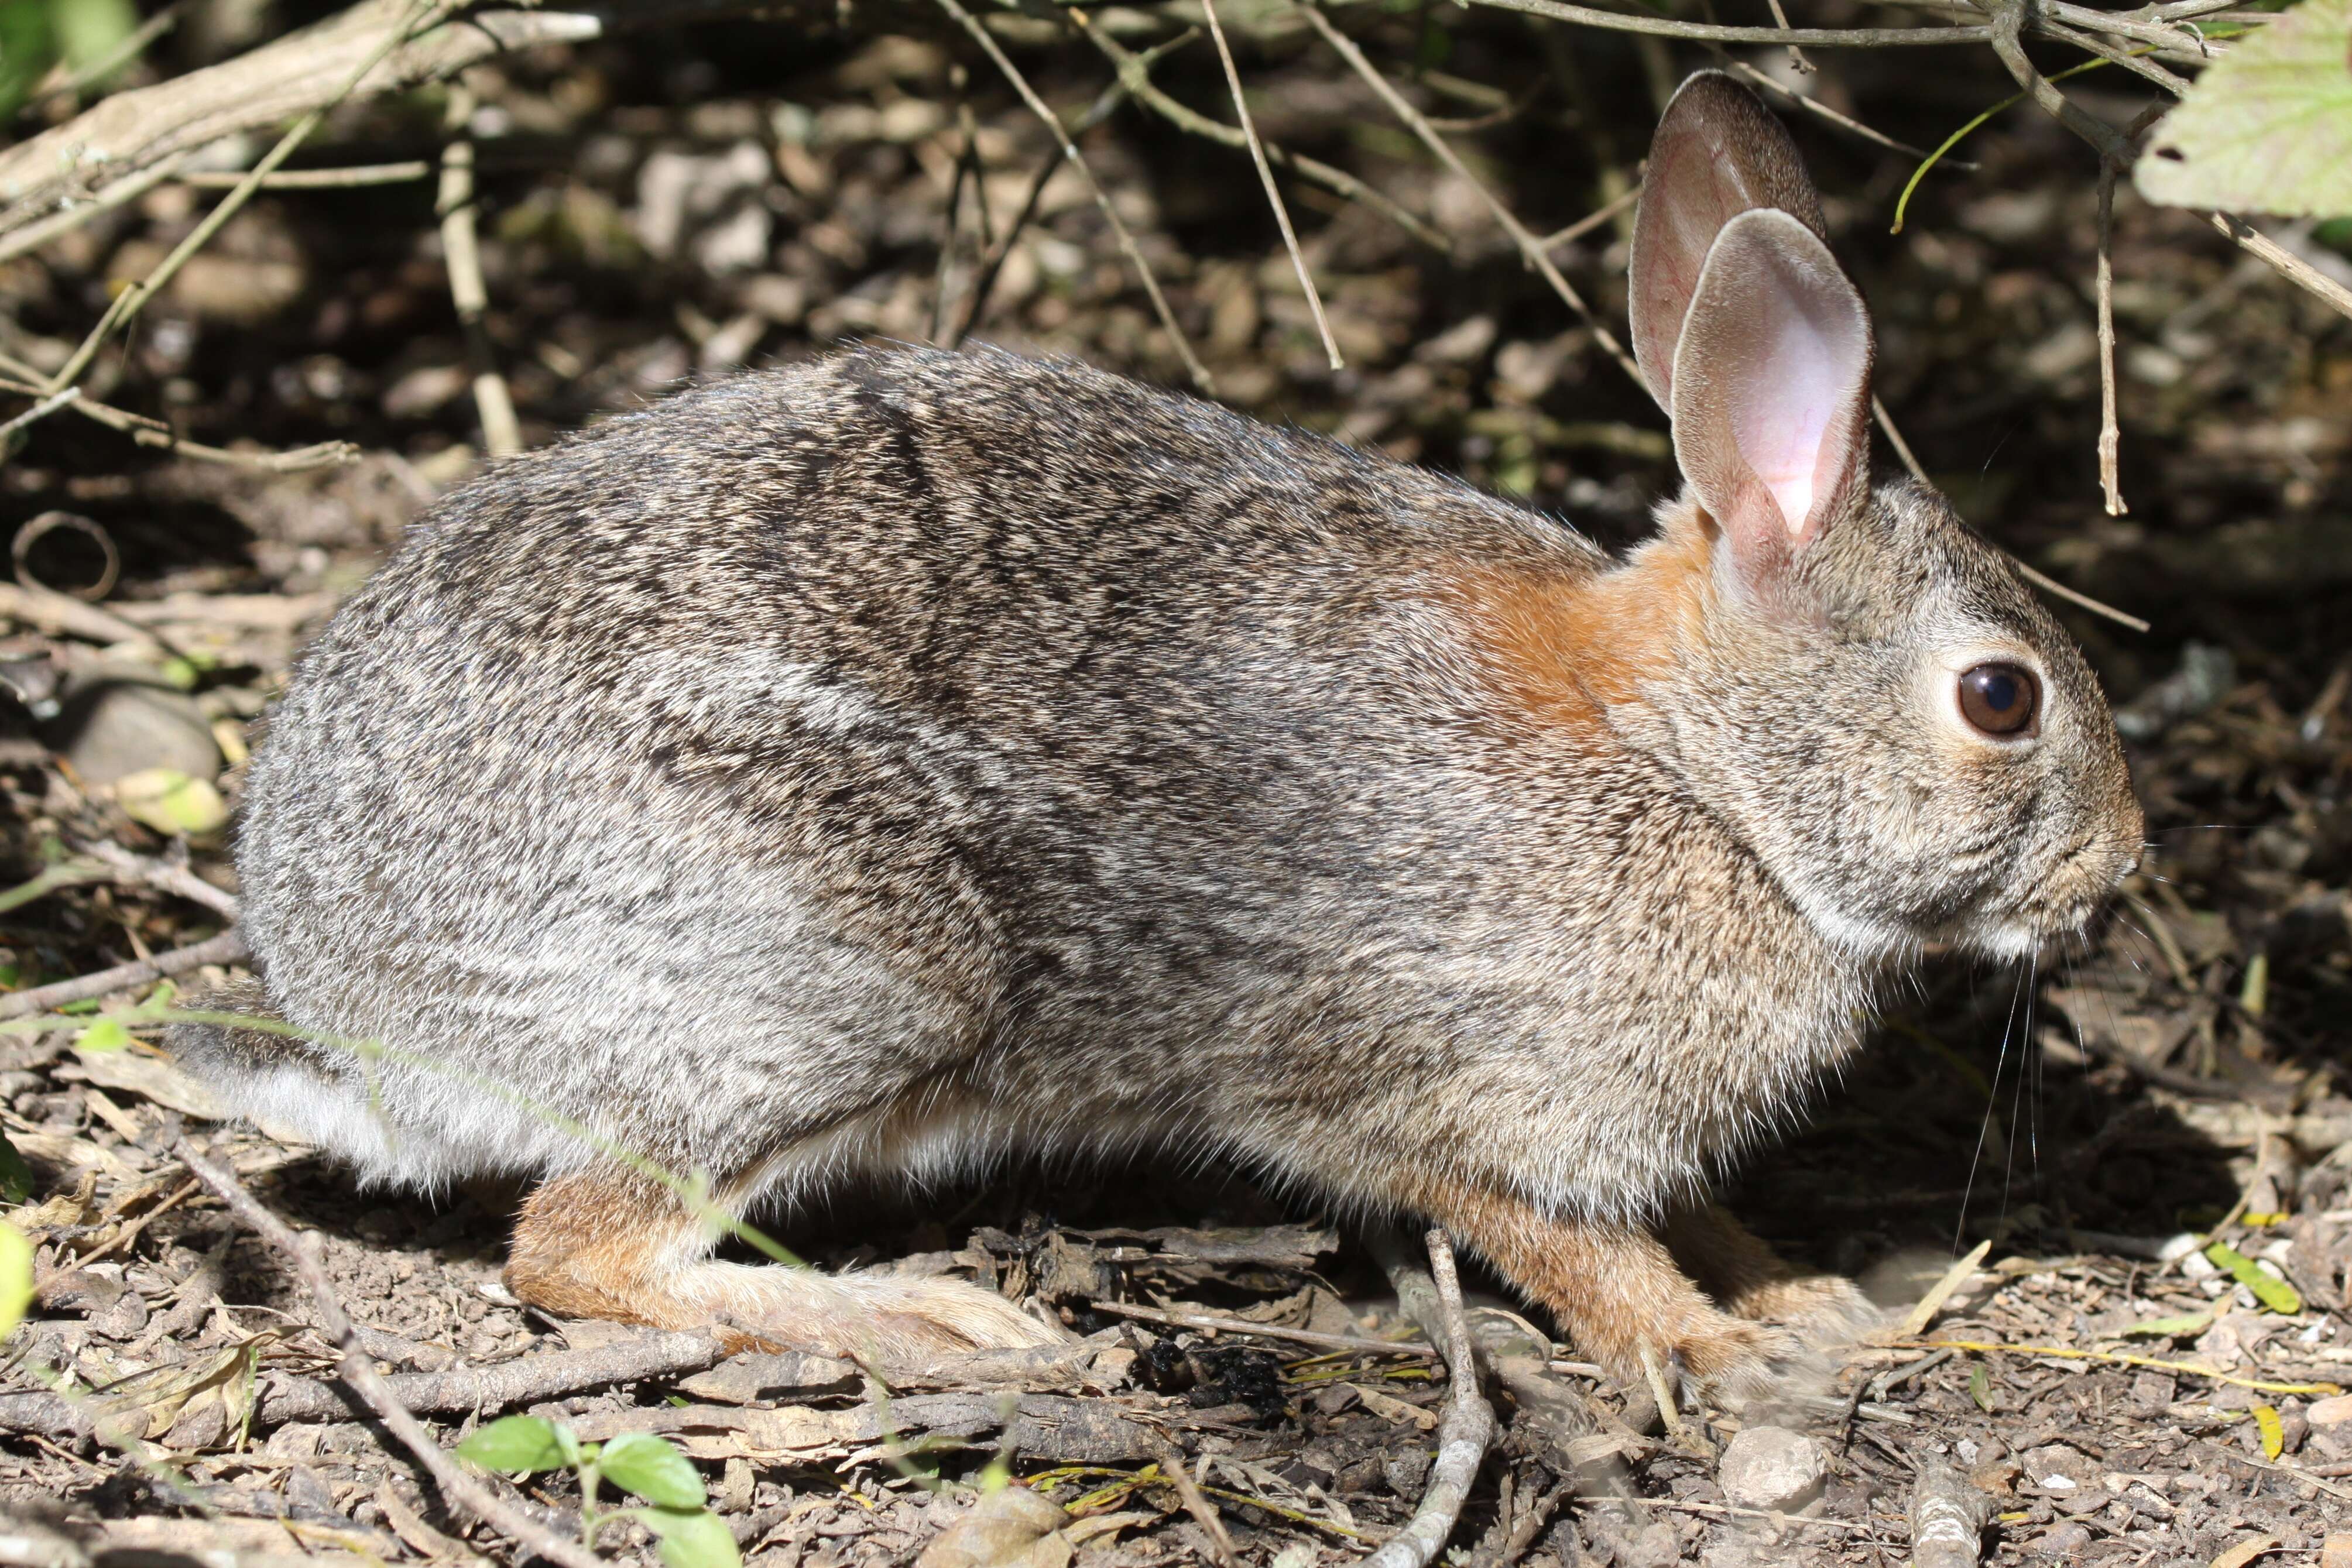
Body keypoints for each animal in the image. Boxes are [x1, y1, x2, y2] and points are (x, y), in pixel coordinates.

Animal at [170, 73, 2154, 1401]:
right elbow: (1562, 1241)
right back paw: (935, 1318)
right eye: (2001, 695)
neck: (1698, 772)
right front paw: (1711, 1348)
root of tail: (355, 1000)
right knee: (576, 1248)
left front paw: (1806, 1295)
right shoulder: (1428, 1086)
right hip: (832, 973)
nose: (2115, 875)